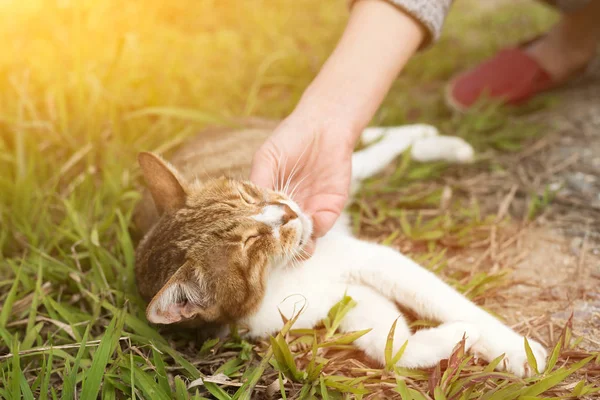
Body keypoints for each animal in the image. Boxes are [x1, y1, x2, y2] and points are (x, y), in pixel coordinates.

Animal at [136, 122, 548, 378]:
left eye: (248, 194)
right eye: (250, 243)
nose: (288, 211)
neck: (281, 281)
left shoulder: (372, 259)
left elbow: (449, 301)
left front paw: (515, 348)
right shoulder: (345, 300)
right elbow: (392, 347)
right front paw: (460, 337)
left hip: (344, 164)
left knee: (378, 144)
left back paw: (434, 139)